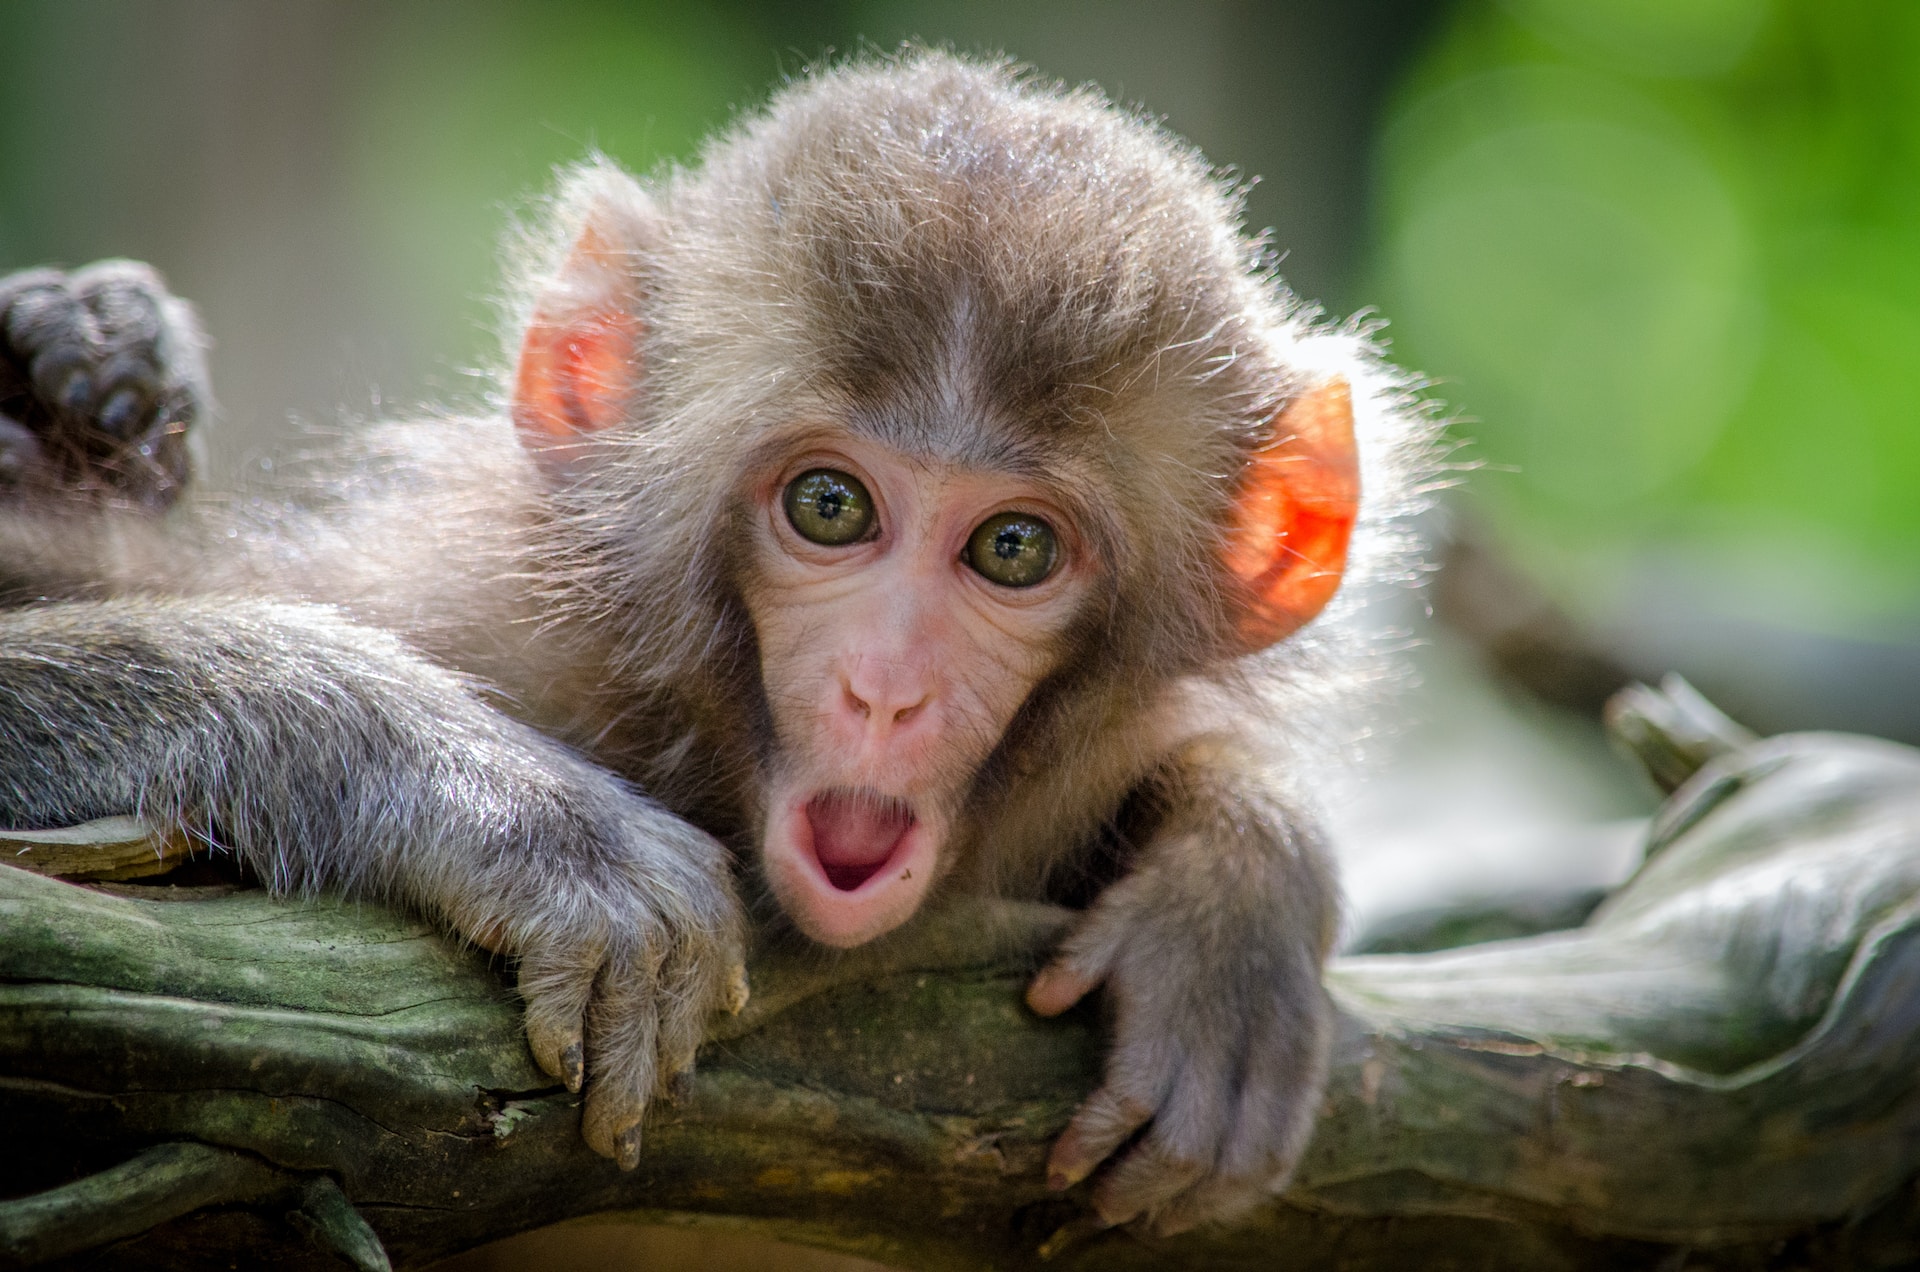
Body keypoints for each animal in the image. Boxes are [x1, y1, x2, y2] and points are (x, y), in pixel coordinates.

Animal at [0, 52, 1428, 1237]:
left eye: (1014, 549)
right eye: (831, 507)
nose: (885, 688)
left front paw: (1233, 897)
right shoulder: (465, 604)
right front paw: (513, 812)